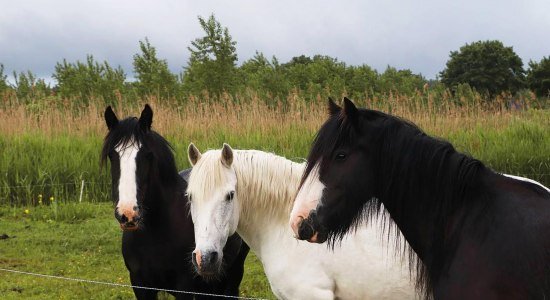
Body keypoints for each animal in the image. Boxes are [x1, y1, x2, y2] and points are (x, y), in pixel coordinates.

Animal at [101, 104, 250, 298]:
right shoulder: (140, 285)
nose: (128, 214)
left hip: (233, 274)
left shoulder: (184, 287)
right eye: (112, 155)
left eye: (147, 155)